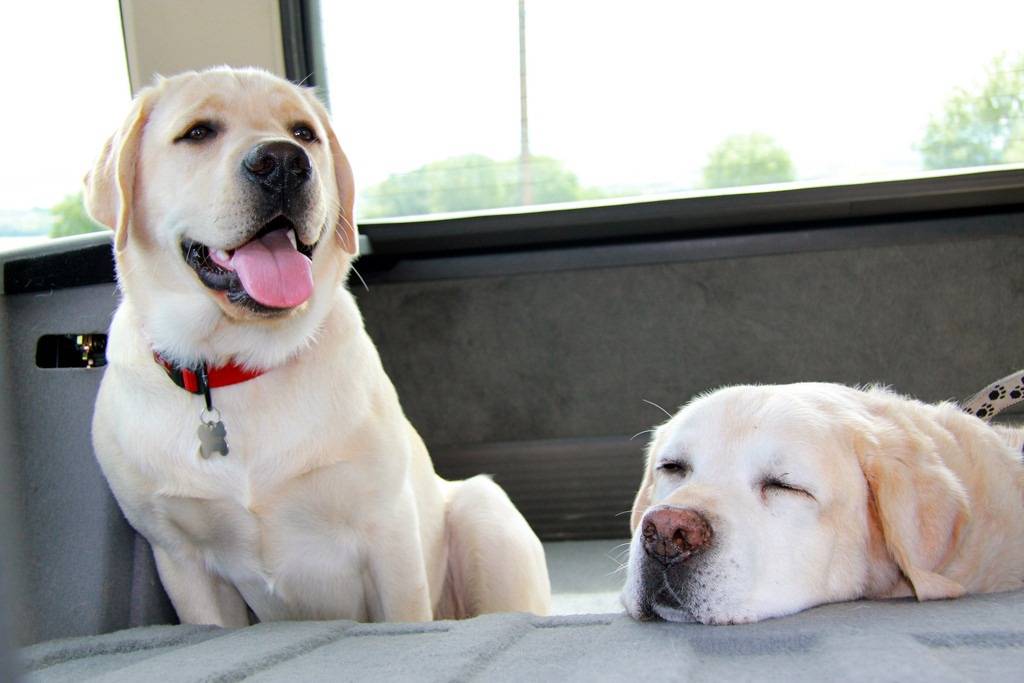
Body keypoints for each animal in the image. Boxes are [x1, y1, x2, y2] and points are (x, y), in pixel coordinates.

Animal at [85, 67, 550, 626]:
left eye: (304, 132)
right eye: (197, 132)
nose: (283, 163)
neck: (241, 364)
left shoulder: (388, 531)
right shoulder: (182, 560)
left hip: (483, 509)